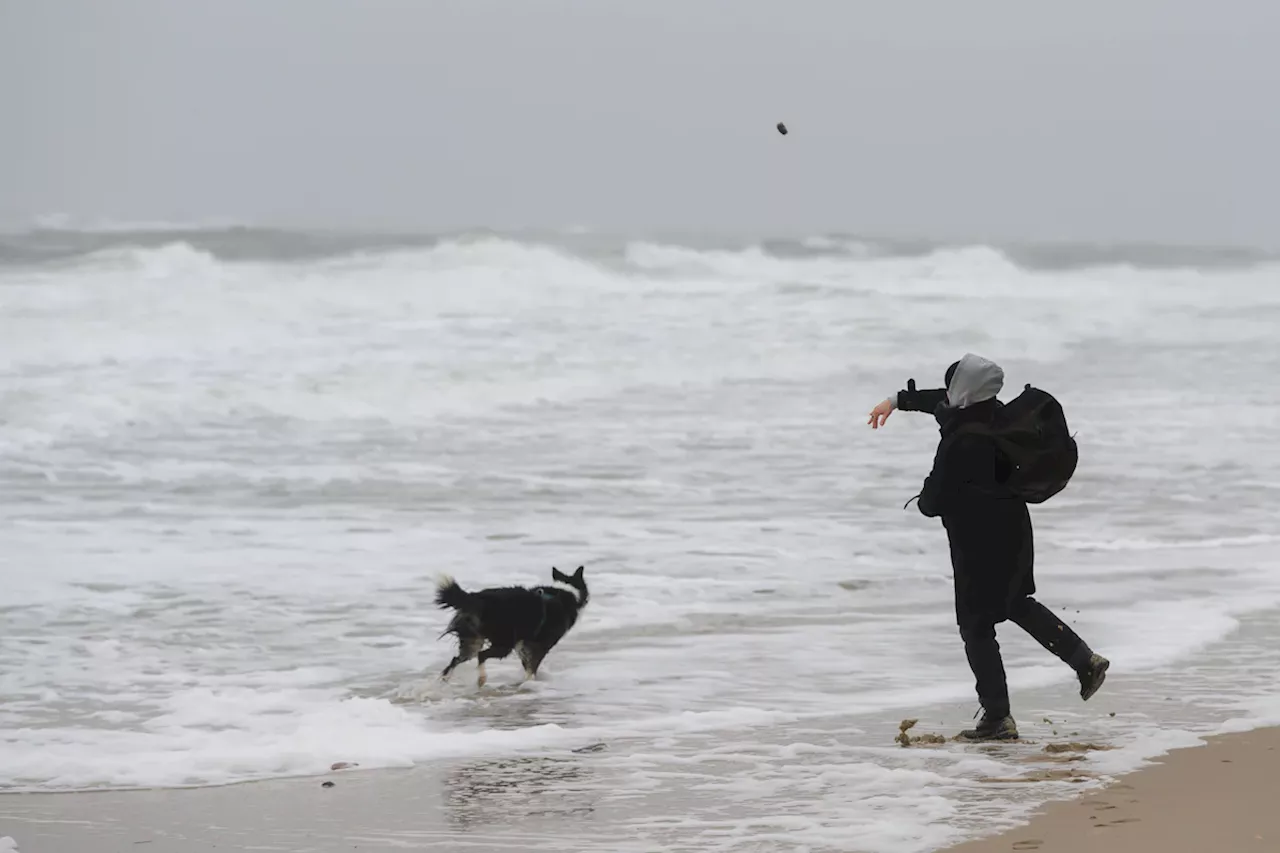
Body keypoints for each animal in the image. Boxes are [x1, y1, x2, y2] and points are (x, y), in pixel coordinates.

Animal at [432, 563, 586, 686]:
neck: (566, 591)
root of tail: (477, 598)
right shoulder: (541, 645)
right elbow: (532, 666)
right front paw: (530, 681)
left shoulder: (522, 644)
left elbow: (527, 663)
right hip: (504, 641)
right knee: (481, 655)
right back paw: (481, 678)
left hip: (473, 638)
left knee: (457, 659)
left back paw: (444, 680)